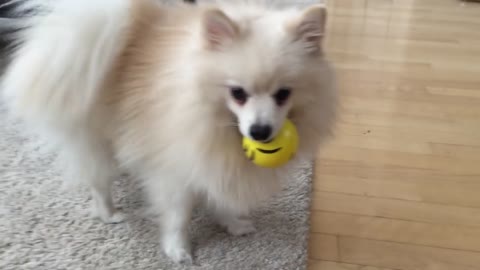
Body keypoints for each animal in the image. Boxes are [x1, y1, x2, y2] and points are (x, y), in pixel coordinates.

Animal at [0, 0, 338, 264]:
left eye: (283, 94)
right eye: (238, 93)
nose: (259, 131)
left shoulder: (215, 164)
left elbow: (221, 199)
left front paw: (232, 224)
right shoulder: (175, 170)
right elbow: (178, 215)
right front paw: (177, 249)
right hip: (93, 137)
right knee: (98, 179)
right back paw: (108, 213)